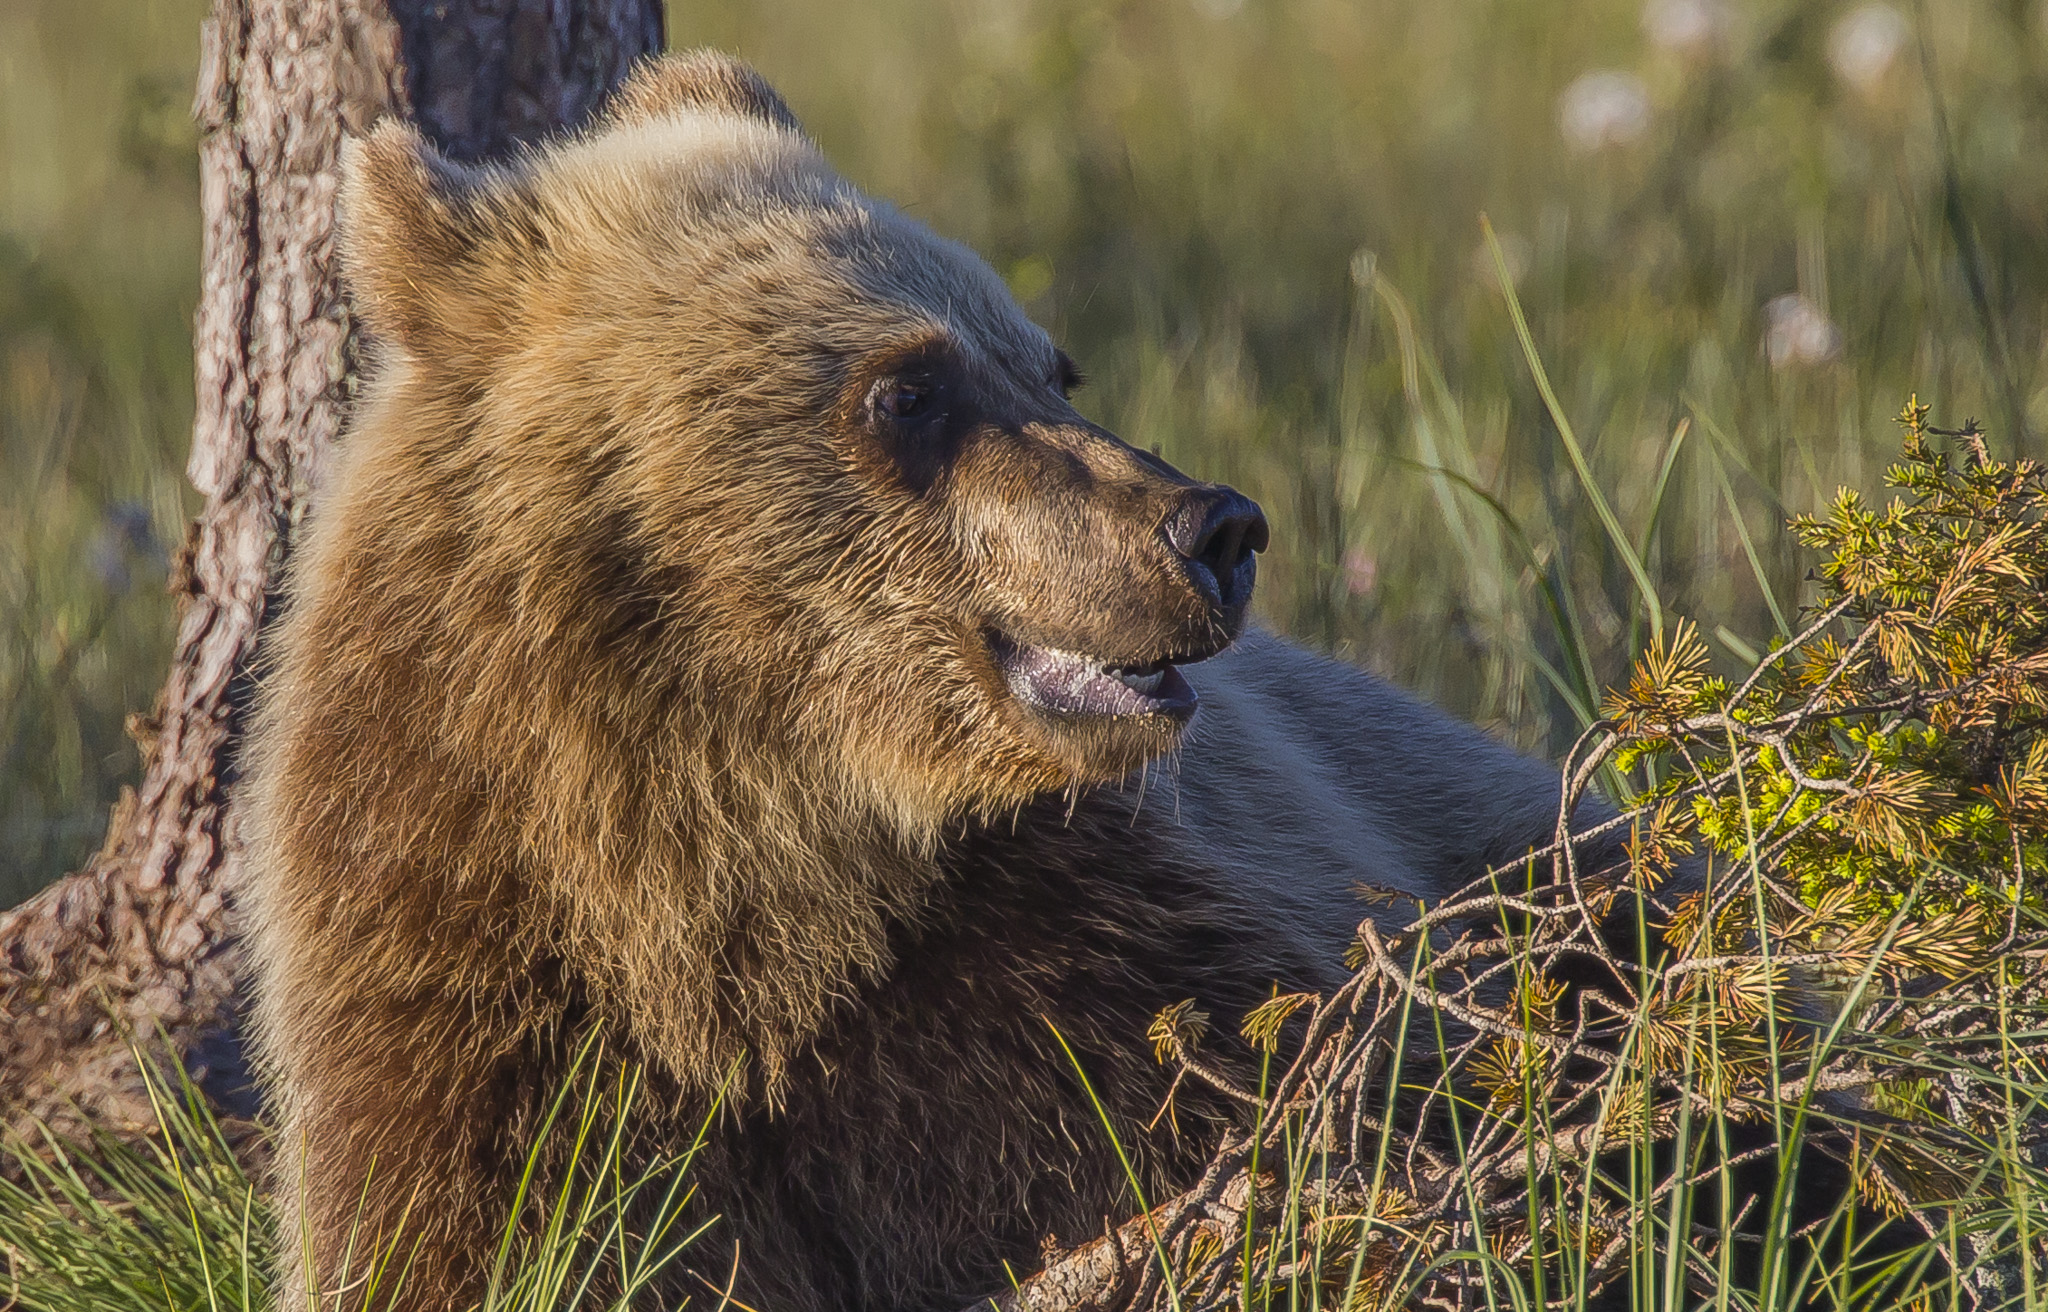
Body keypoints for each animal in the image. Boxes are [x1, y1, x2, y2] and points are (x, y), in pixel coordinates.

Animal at [240, 50, 1605, 1312]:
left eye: (1048, 366)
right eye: (907, 388)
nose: (1211, 529)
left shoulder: (1070, 938)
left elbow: (1307, 1093)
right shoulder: (470, 978)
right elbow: (492, 1238)